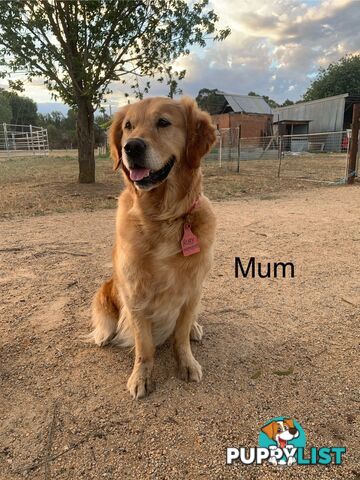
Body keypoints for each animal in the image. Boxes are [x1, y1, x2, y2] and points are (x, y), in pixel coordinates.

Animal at [90, 96, 217, 398]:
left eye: (163, 122)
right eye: (127, 126)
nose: (131, 147)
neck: (163, 217)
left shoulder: (193, 289)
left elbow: (180, 336)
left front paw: (186, 362)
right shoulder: (135, 295)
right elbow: (144, 346)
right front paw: (141, 376)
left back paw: (195, 328)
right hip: (106, 288)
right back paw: (103, 333)